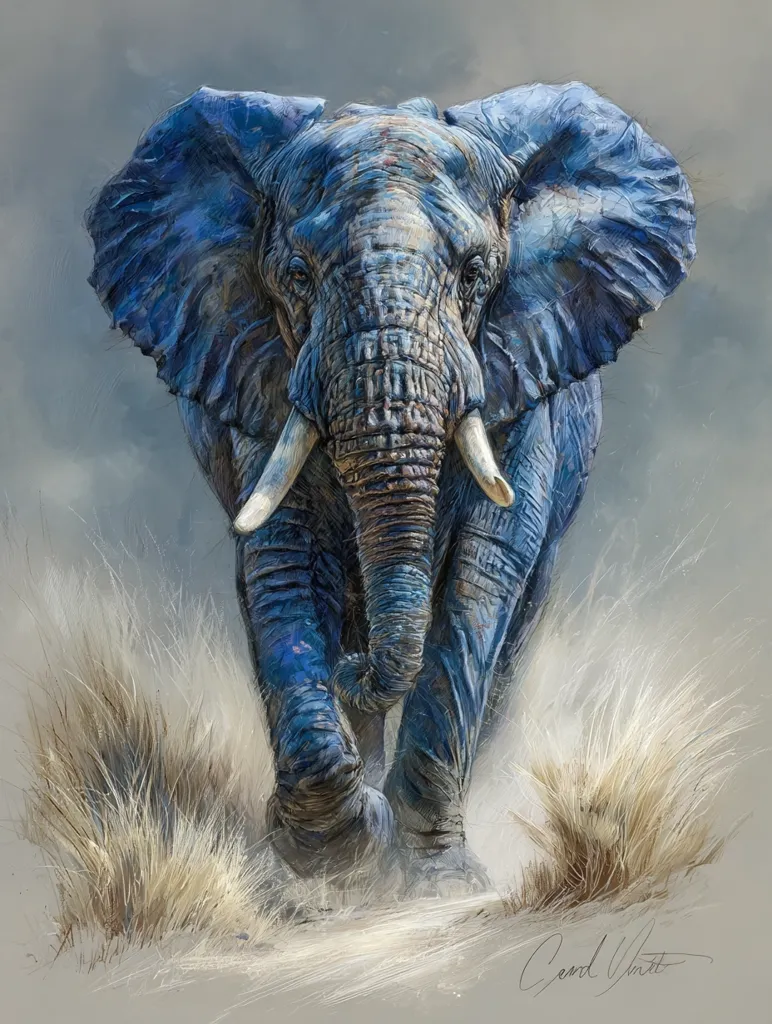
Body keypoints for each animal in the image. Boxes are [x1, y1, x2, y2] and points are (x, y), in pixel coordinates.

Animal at [85, 81, 696, 897]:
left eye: (474, 273)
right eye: (298, 276)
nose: (354, 673)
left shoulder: (520, 372)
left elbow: (481, 575)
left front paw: (438, 881)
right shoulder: (258, 367)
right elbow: (280, 566)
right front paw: (335, 852)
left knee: (506, 640)